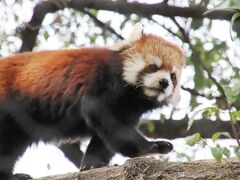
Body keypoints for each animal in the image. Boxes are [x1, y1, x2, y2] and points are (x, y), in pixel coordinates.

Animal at [0, 23, 186, 179]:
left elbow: (104, 137)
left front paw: (92, 165)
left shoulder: (130, 109)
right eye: (153, 67)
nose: (164, 83)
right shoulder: (101, 82)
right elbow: (108, 121)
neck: (134, 96)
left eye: (173, 76)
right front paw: (149, 147)